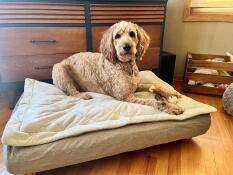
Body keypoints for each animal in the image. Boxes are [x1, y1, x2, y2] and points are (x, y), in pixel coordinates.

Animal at [52, 20, 184, 115]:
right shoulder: (125, 96)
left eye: (132, 34)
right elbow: (154, 101)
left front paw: (172, 92)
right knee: (71, 91)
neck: (126, 66)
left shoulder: (135, 86)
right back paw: (83, 95)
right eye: (117, 36)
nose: (127, 46)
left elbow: (155, 85)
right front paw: (171, 107)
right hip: (60, 70)